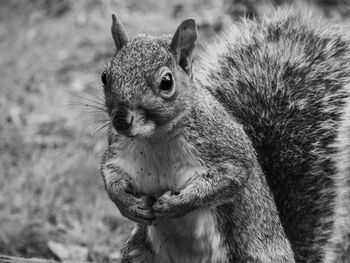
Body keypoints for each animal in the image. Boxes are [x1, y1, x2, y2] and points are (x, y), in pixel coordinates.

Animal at [98, 6, 350, 263]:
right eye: (105, 76)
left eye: (167, 82)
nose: (121, 120)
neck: (155, 137)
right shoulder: (118, 149)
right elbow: (110, 176)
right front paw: (128, 204)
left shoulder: (224, 146)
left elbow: (228, 179)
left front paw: (176, 203)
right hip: (137, 252)